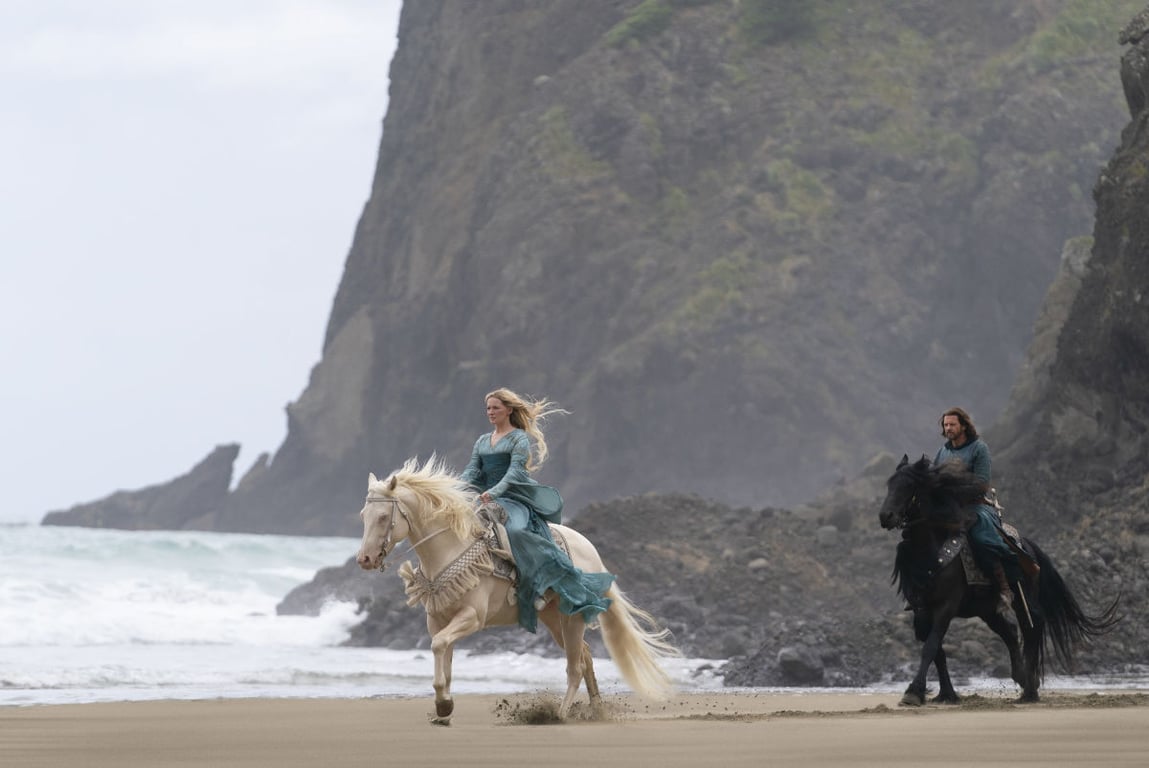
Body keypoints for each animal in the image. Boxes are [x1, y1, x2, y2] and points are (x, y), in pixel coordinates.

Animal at [353, 459, 675, 722]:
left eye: (383, 517)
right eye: (363, 515)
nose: (365, 559)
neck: (449, 549)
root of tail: (590, 548)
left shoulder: (472, 617)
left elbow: (438, 646)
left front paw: (444, 704)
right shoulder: (438, 619)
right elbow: (444, 657)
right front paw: (443, 710)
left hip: (572, 616)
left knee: (575, 665)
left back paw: (560, 714)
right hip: (552, 618)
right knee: (584, 655)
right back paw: (596, 709)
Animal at [877, 452, 1112, 703]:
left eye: (908, 485)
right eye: (890, 484)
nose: (885, 516)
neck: (931, 552)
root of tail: (1027, 544)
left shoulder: (946, 607)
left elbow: (931, 645)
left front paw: (913, 692)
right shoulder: (921, 609)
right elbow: (937, 650)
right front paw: (946, 693)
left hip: (1022, 600)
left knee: (1032, 626)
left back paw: (1030, 688)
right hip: (986, 608)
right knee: (1010, 631)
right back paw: (1022, 678)